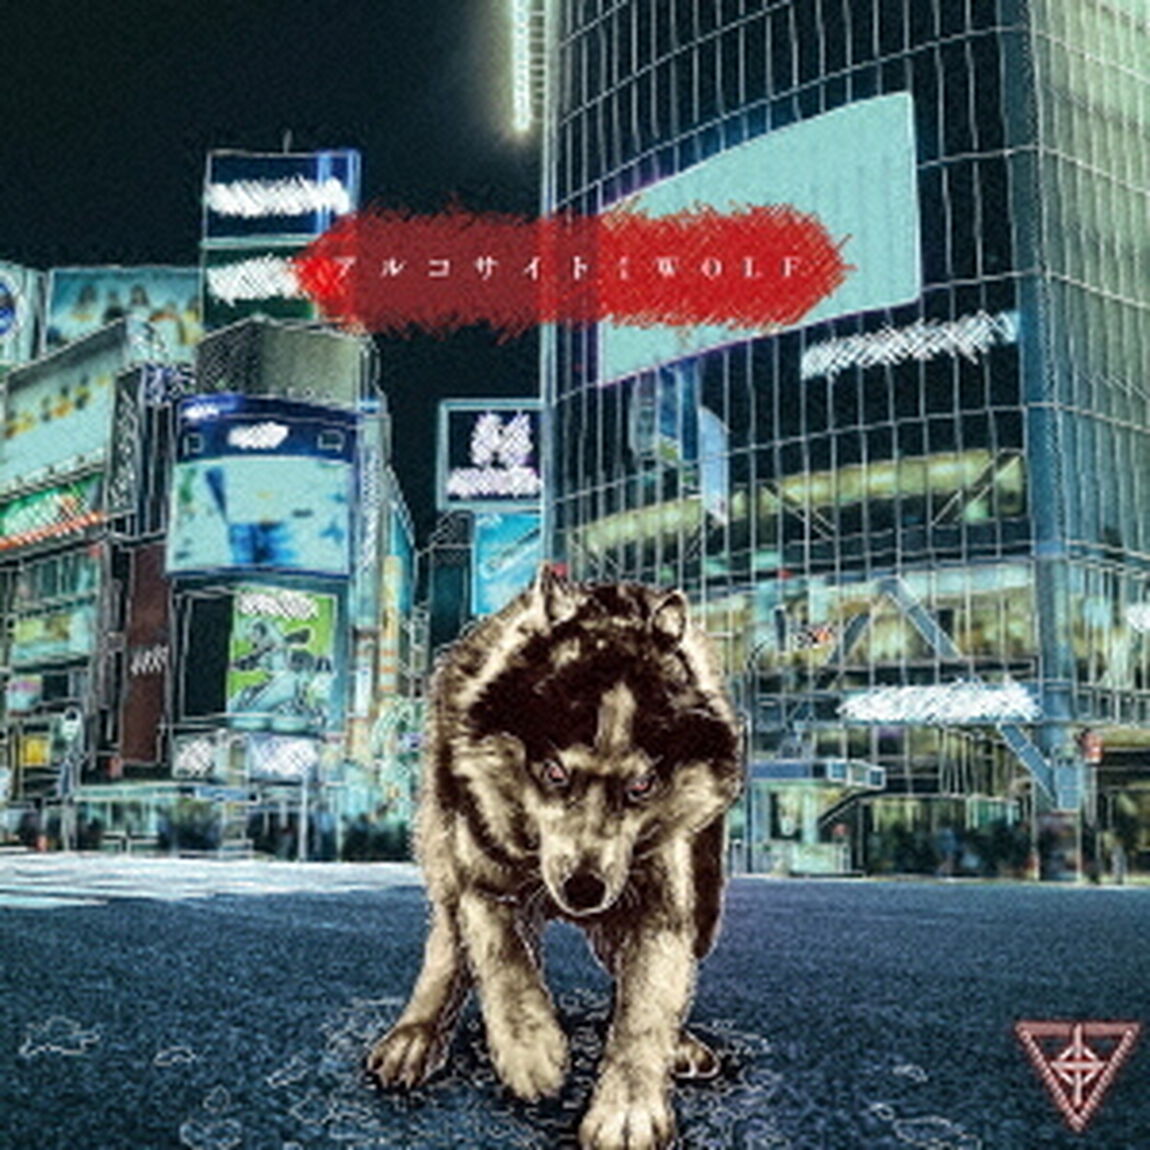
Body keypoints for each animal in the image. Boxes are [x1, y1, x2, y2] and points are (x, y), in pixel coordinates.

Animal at [367, 566, 743, 1149]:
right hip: (441, 846)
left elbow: (645, 1006)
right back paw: (417, 1034)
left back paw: (679, 1044)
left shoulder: (661, 901)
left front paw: (629, 1106)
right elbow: (502, 956)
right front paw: (530, 1049)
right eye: (553, 773)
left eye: (642, 784)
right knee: (450, 940)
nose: (583, 891)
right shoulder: (482, 879)